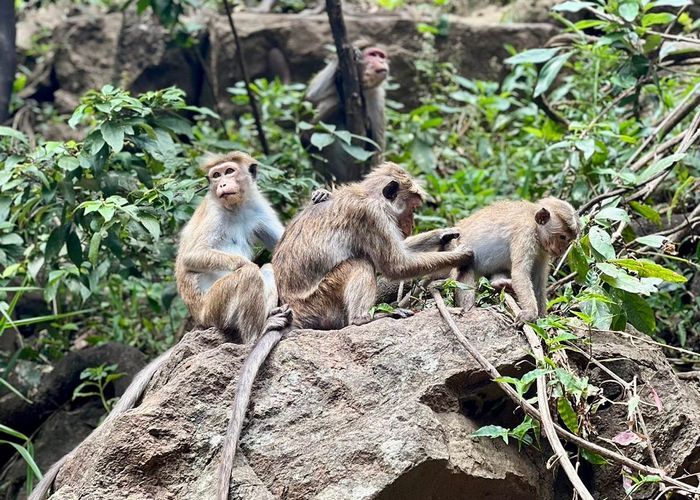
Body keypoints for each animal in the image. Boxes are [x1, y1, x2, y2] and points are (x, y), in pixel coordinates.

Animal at [300, 41, 388, 182]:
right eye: (373, 55)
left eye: (381, 56)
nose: (382, 61)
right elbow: (309, 98)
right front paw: (352, 50)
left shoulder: (377, 98)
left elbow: (377, 153)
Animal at [452, 197, 584, 322]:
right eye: (562, 237)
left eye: (569, 240)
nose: (562, 249)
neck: (534, 225)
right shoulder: (525, 233)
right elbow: (520, 272)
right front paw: (530, 314)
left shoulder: (542, 251)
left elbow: (538, 279)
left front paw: (543, 317)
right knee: (465, 268)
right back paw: (469, 309)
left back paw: (500, 283)